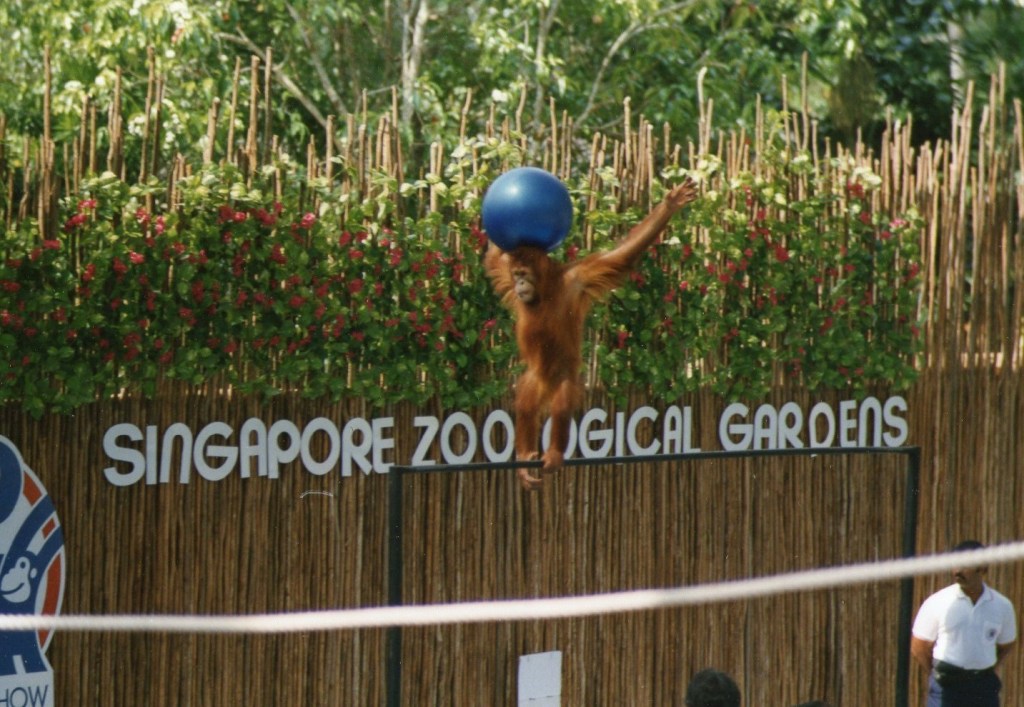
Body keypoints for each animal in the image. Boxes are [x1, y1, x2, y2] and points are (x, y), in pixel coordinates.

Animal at [484, 179, 697, 490]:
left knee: (561, 405)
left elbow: (618, 258)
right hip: (533, 380)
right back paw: (525, 456)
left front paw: (672, 202)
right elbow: (493, 261)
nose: (520, 283)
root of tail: (547, 386)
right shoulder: (504, 274)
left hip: (567, 379)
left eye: (524, 273)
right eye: (515, 275)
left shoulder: (579, 278)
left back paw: (554, 455)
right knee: (525, 403)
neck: (544, 291)